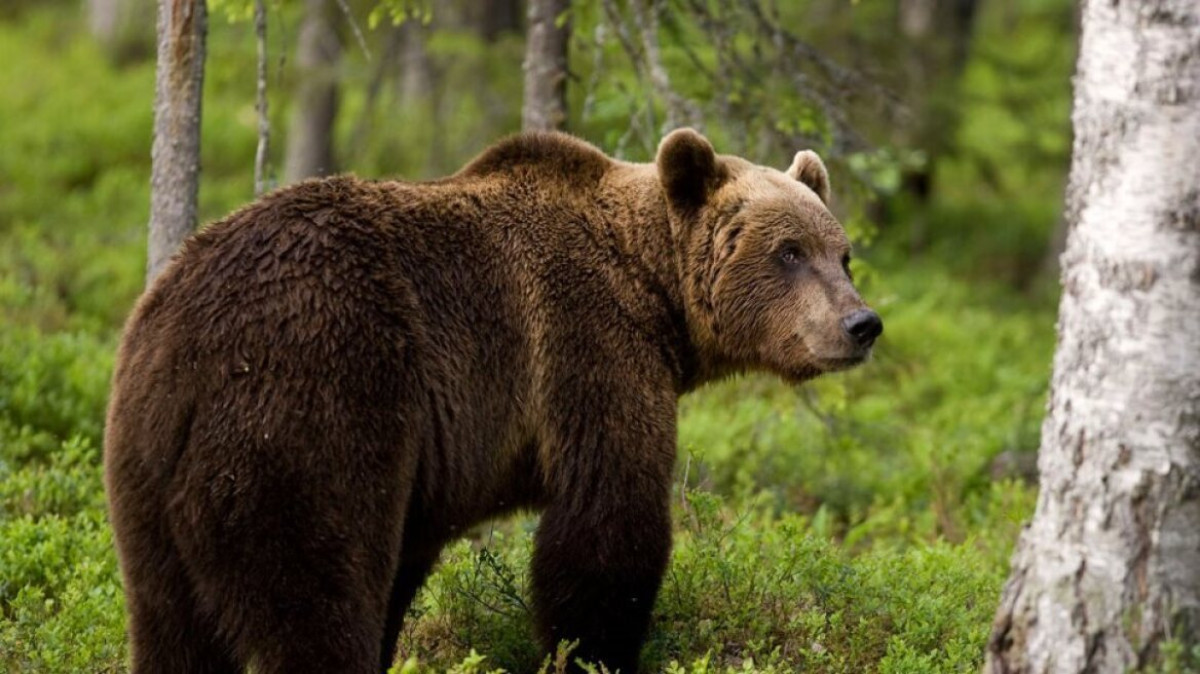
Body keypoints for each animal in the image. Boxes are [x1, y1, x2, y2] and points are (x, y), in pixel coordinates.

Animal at [105, 127, 883, 671]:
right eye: (788, 252)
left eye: (842, 253)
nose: (862, 323)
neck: (654, 293)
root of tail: (185, 340)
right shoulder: (589, 349)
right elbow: (607, 528)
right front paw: (594, 652)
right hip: (309, 413)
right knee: (316, 597)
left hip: (148, 478)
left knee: (170, 626)